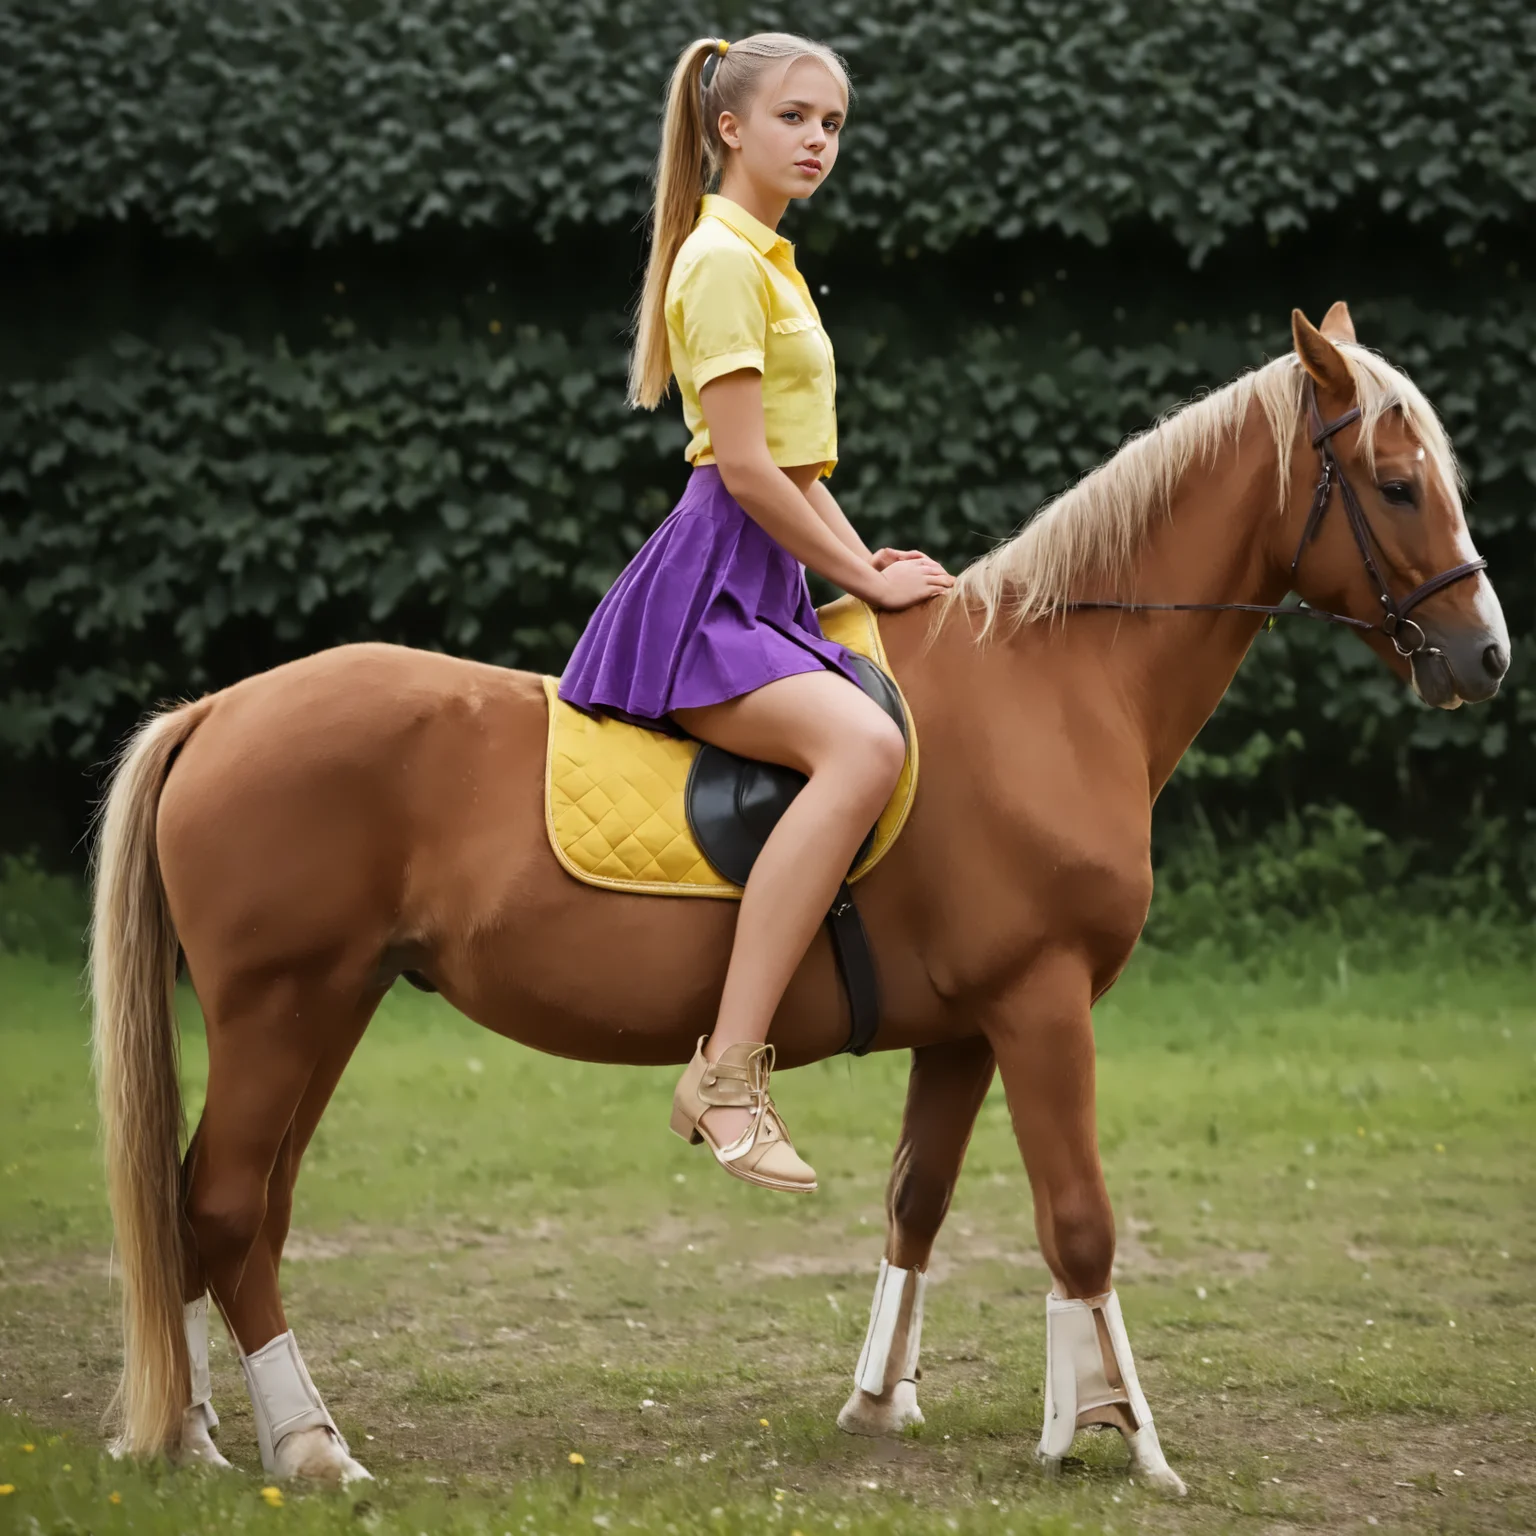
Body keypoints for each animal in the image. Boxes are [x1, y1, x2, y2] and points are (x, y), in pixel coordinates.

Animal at [89, 304, 1508, 1495]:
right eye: (1396, 485)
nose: (1486, 655)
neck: (1052, 683)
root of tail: (219, 711)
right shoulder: (1042, 1004)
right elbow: (1081, 1222)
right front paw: (1123, 1436)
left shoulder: (966, 1030)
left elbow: (918, 1204)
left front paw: (892, 1402)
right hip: (284, 1009)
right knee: (224, 1208)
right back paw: (310, 1446)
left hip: (329, 1010)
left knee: (227, 1212)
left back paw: (211, 1433)